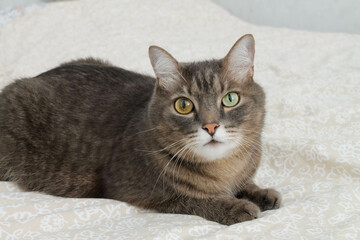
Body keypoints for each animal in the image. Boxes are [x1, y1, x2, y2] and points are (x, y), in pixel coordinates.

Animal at [0, 34, 282, 225]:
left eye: (230, 99)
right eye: (183, 105)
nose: (211, 126)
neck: (224, 169)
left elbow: (245, 183)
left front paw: (262, 193)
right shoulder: (141, 193)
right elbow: (195, 199)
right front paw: (235, 207)